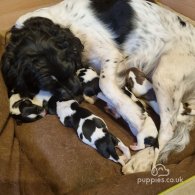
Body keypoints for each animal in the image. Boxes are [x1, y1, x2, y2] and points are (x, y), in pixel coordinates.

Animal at [2, 0, 195, 174]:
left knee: (167, 130)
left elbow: (104, 84)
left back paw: (142, 159)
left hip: (164, 75)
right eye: (48, 82)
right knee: (177, 115)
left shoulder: (111, 55)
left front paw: (135, 116)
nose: (77, 94)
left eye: (70, 68)